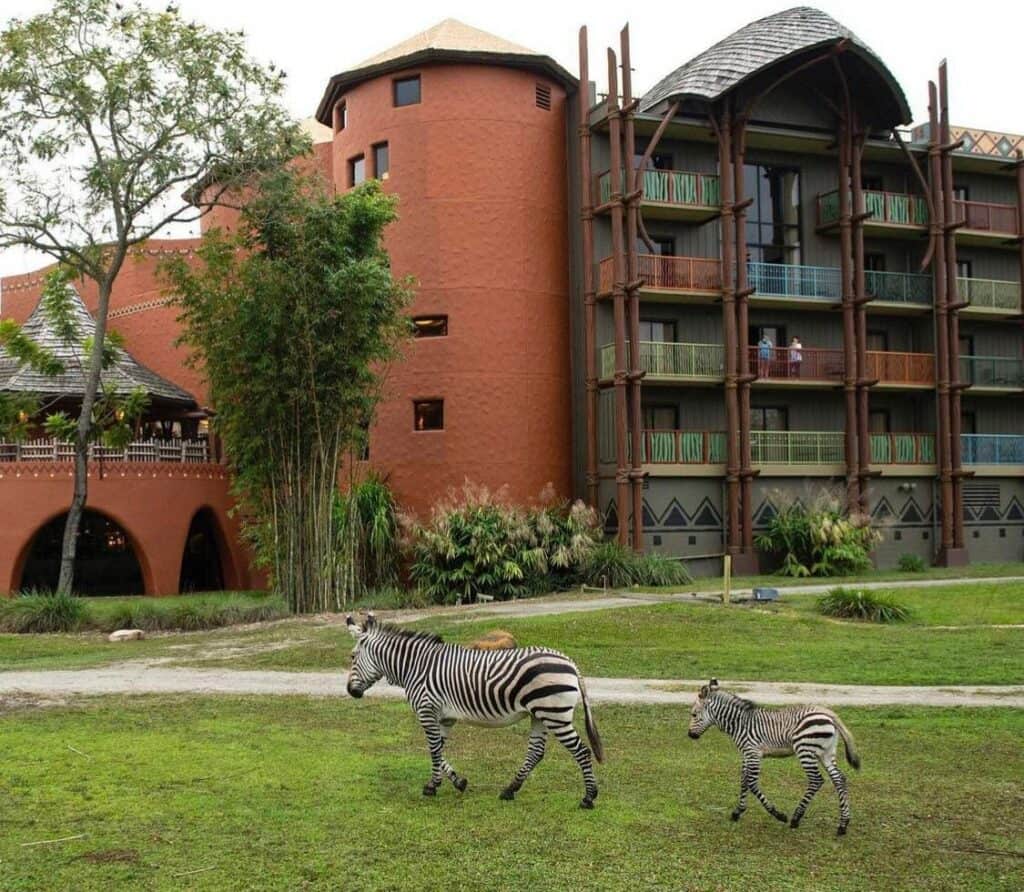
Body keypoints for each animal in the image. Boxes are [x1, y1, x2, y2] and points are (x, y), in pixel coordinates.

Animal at [345, 613, 604, 808]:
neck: (416, 667)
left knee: (581, 751)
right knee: (536, 752)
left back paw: (588, 798)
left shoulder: (427, 711)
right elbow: (438, 750)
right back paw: (509, 790)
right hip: (539, 715)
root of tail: (570, 662)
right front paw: (457, 782)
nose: (350, 691)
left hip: (555, 715)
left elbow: (433, 750)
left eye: (352, 656)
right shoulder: (445, 717)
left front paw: (432, 786)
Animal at [688, 679, 861, 835]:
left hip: (805, 750)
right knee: (839, 779)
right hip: (826, 752)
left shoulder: (753, 753)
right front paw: (738, 811)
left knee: (816, 780)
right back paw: (843, 824)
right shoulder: (746, 754)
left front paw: (778, 815)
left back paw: (795, 818)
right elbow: (743, 780)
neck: (740, 724)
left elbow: (751, 783)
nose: (690, 735)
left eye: (694, 714)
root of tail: (829, 714)